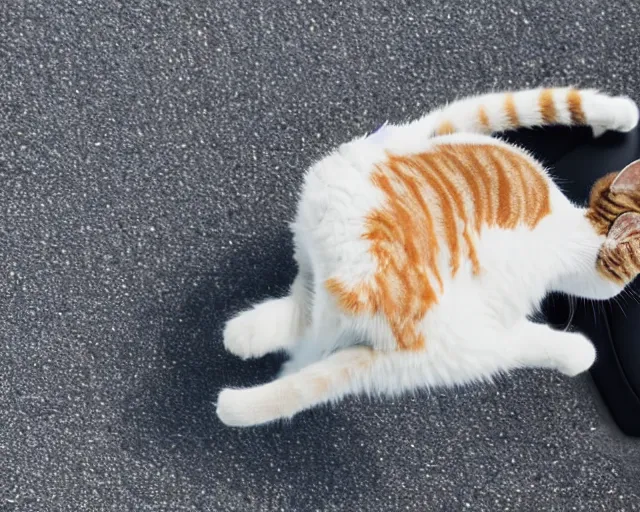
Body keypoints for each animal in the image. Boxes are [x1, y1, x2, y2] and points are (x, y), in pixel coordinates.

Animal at [216, 88, 640, 428]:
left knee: (298, 327)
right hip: (454, 349)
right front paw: (624, 113)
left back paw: (242, 341)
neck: (581, 228)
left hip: (322, 250)